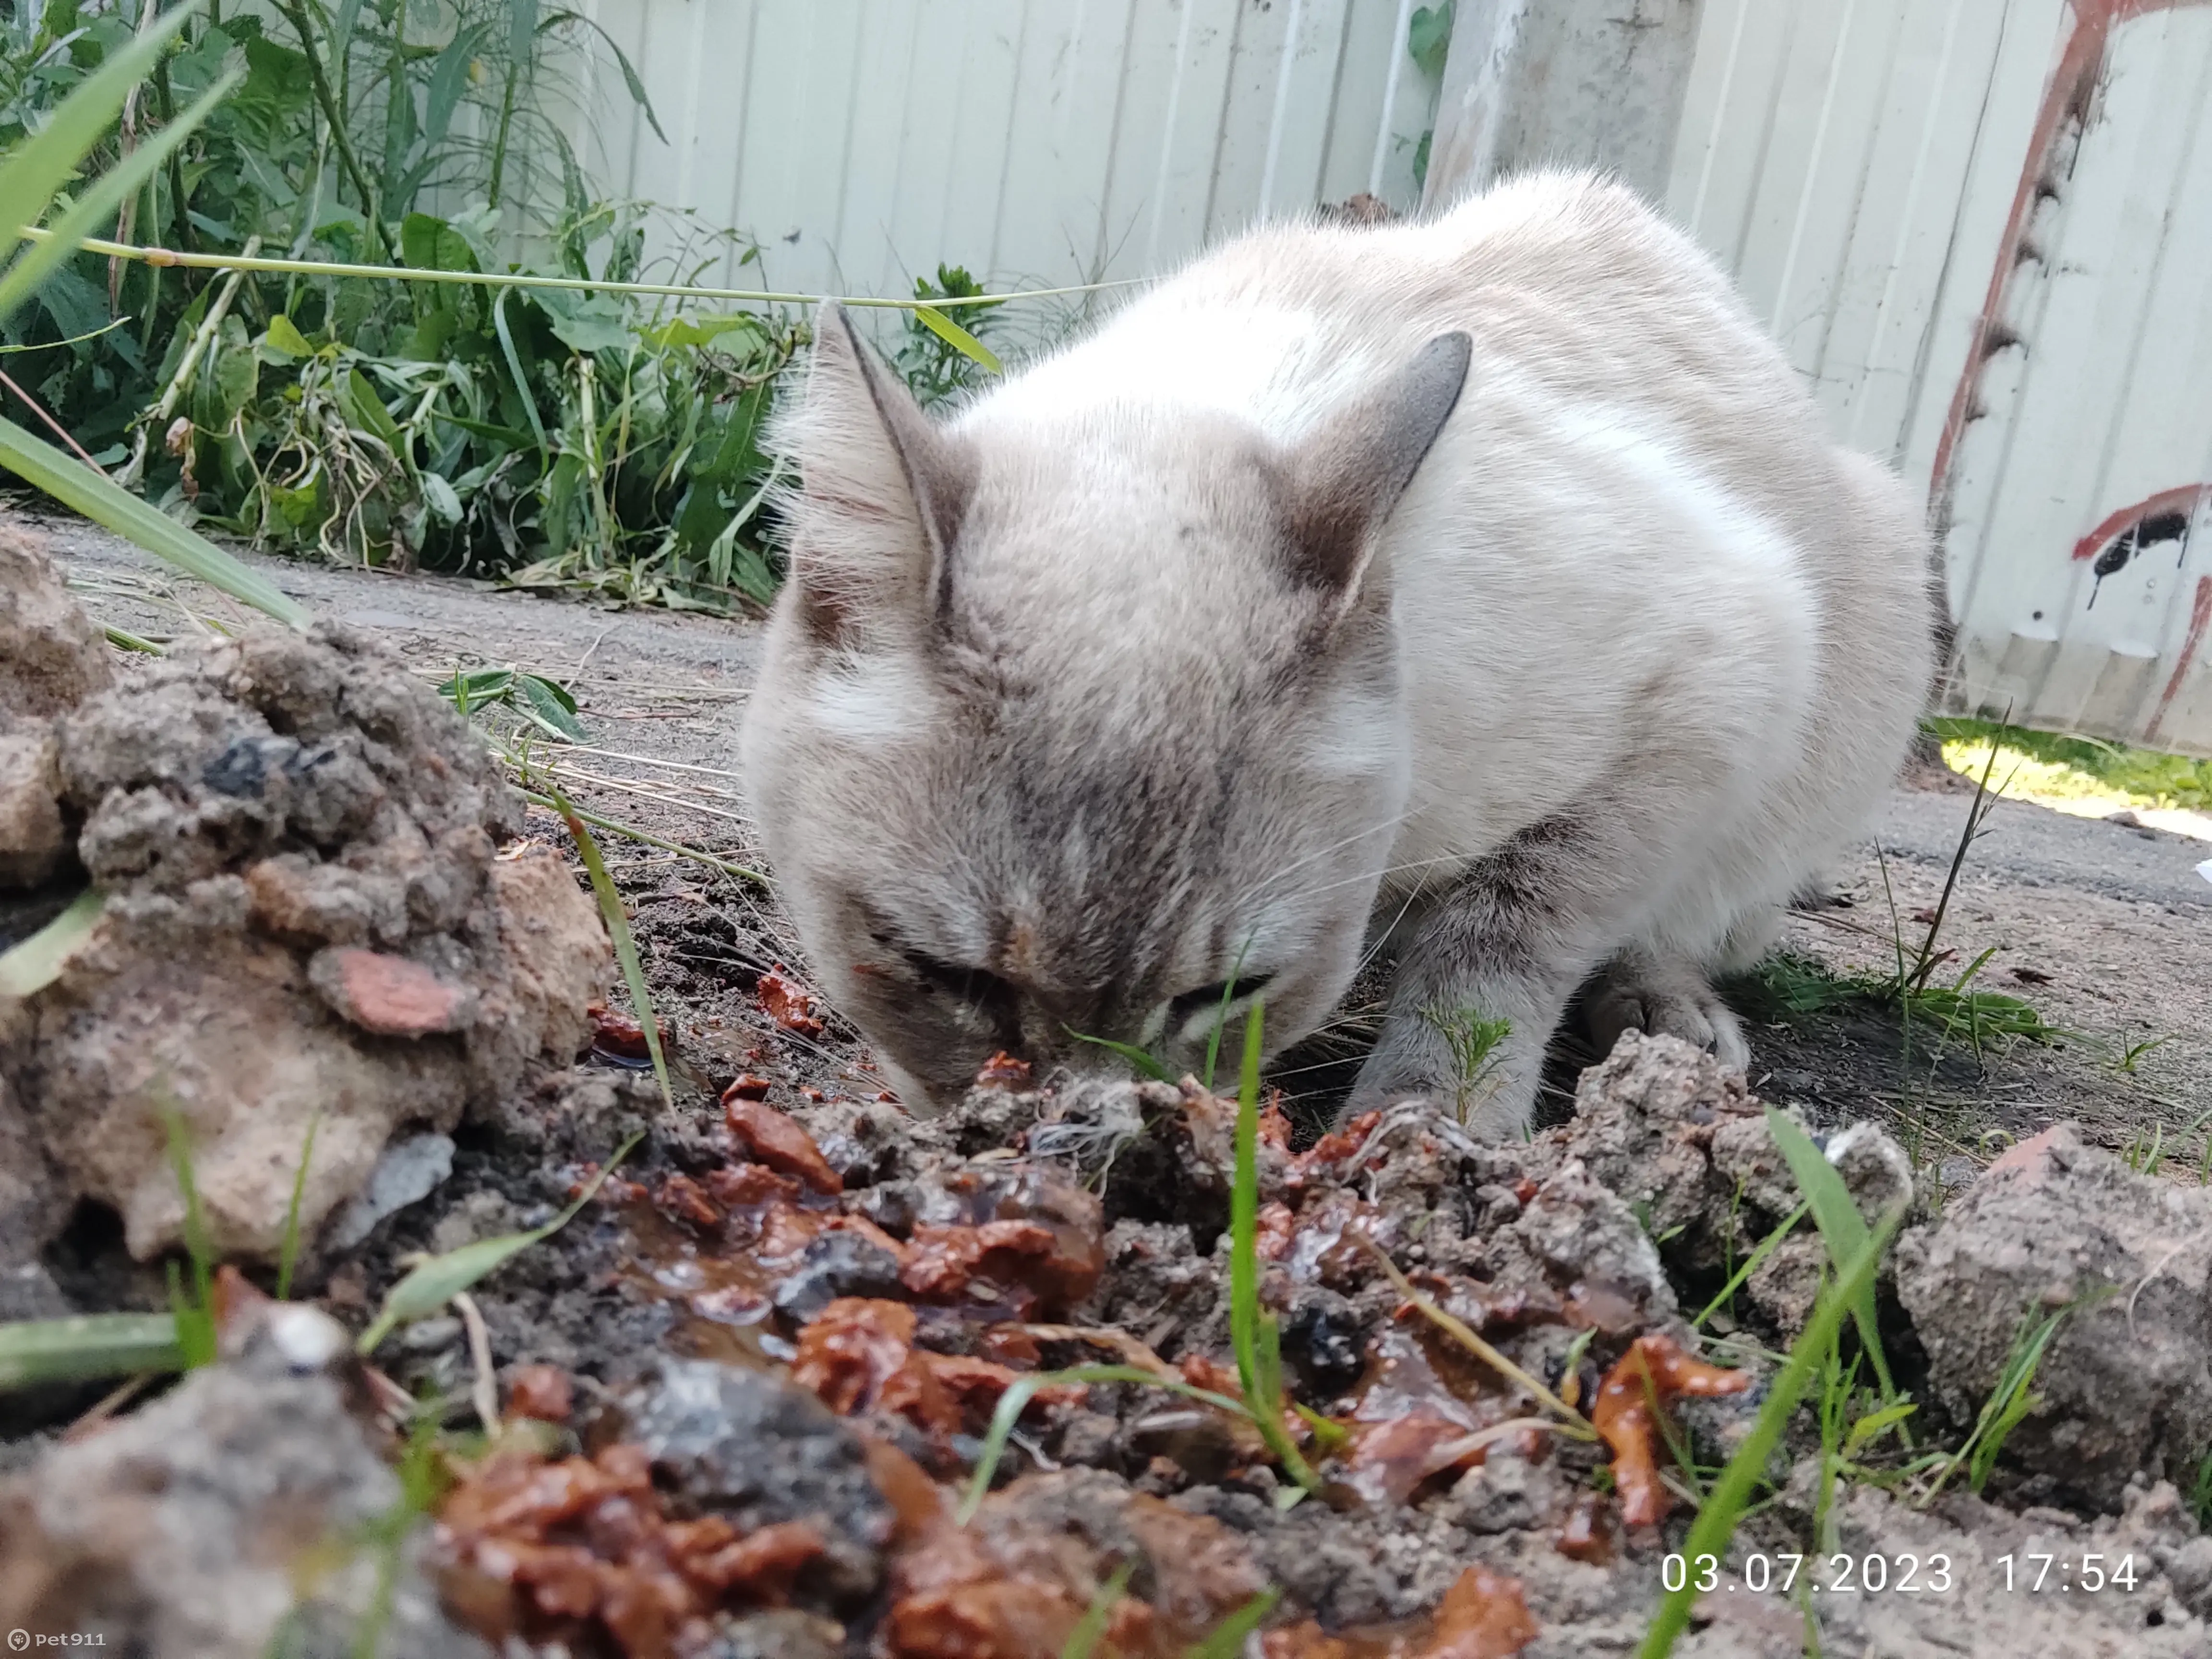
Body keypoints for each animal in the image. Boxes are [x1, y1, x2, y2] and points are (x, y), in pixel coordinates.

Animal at [734, 169, 1929, 1141]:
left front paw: (1430, 1123)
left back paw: (1663, 1012)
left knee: (1691, 915)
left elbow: (1501, 939)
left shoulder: (1718, 669)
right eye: (948, 977)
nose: (1077, 1128)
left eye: (1226, 994)